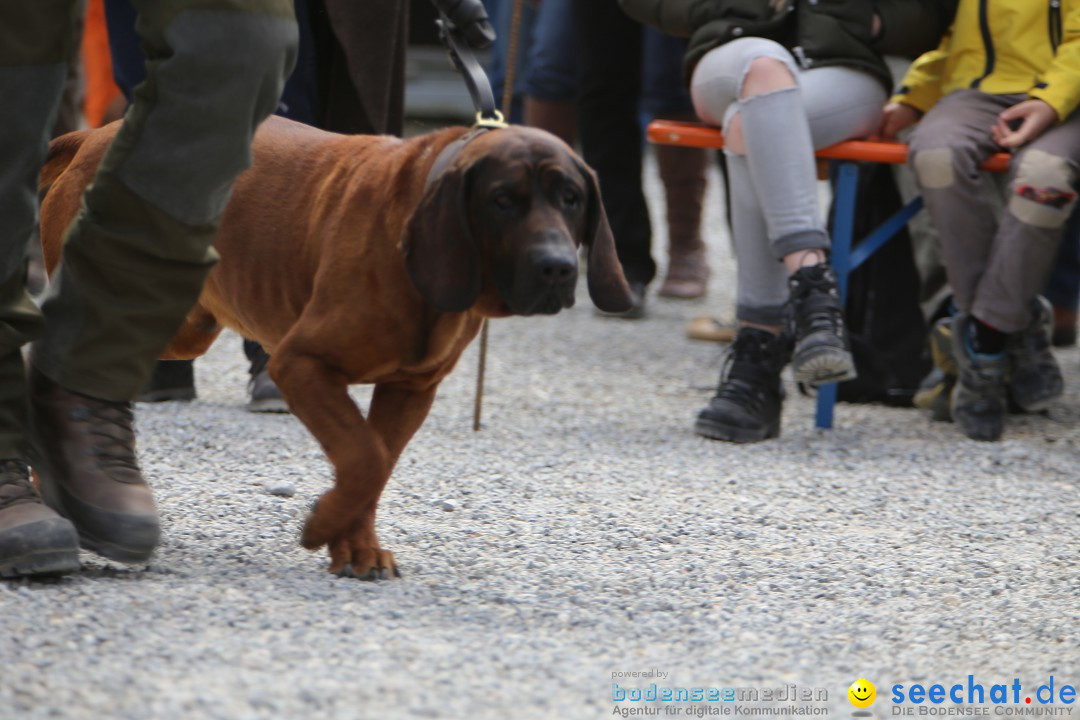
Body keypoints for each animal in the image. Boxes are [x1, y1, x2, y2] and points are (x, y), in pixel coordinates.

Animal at [39, 117, 630, 578]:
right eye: (503, 201)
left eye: (571, 199)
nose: (559, 268)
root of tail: (93, 135)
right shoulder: (301, 364)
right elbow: (364, 458)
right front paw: (321, 523)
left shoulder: (410, 390)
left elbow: (376, 465)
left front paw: (356, 548)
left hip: (183, 328)